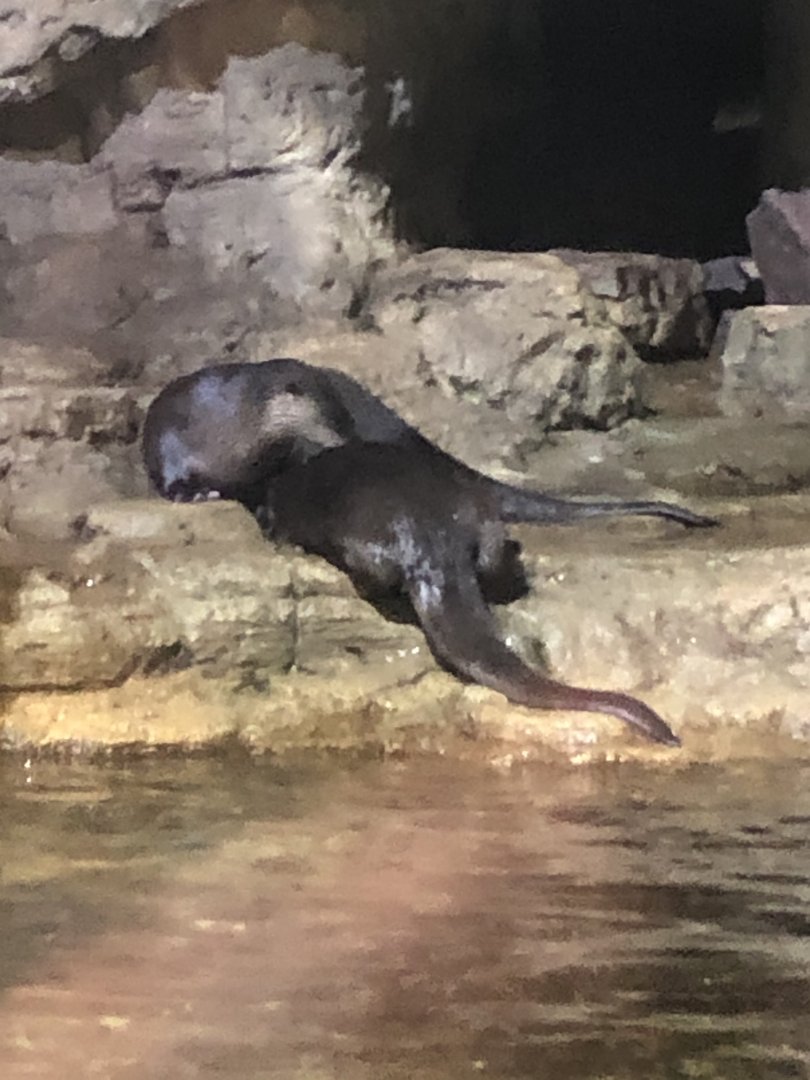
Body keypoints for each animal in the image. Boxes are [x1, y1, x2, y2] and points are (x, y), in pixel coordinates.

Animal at [142, 358, 716, 530]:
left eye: (341, 414)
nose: (347, 439)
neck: (231, 429)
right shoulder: (169, 425)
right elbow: (167, 465)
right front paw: (189, 491)